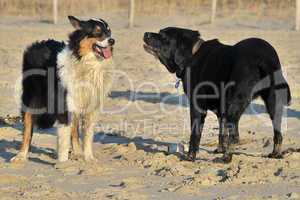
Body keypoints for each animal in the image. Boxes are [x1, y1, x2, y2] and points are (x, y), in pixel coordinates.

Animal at [144, 27, 290, 162]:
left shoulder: (197, 107)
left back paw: (226, 158)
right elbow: (222, 132)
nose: (146, 33)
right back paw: (275, 154)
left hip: (235, 104)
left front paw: (190, 157)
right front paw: (220, 149)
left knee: (234, 136)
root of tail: (264, 58)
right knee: (278, 133)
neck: (192, 54)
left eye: (164, 36)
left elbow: (195, 134)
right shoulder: (222, 110)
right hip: (273, 103)